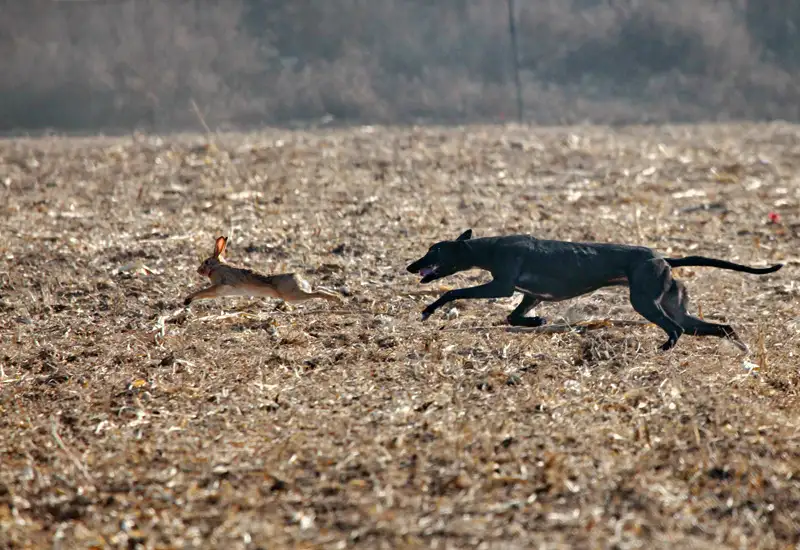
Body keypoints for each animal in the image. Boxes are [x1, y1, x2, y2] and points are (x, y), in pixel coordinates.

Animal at [406, 230, 780, 354]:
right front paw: (537, 322)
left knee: (674, 330)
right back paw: (743, 351)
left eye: (433, 251)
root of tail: (662, 258)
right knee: (720, 326)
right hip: (677, 308)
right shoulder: (531, 294)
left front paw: (428, 310)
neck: (489, 247)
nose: (410, 266)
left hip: (646, 303)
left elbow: (453, 291)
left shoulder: (500, 285)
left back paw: (662, 352)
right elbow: (514, 316)